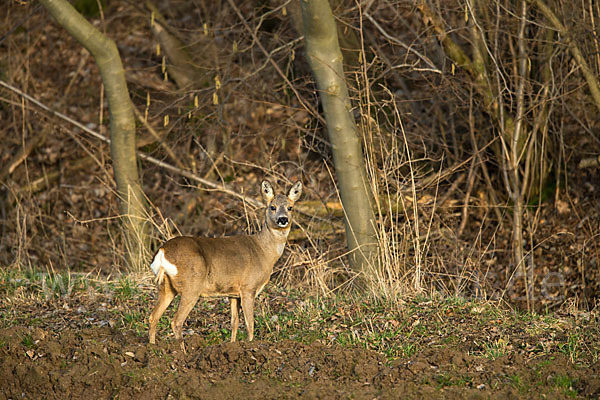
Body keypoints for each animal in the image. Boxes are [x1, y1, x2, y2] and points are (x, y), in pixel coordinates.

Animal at [148, 179, 302, 350]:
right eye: (272, 207)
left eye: (290, 207)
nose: (283, 219)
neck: (264, 251)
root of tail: (163, 252)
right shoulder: (248, 287)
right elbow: (250, 324)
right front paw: (251, 346)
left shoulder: (233, 293)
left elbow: (234, 322)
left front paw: (232, 346)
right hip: (192, 285)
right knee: (176, 321)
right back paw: (183, 353)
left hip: (166, 287)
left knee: (153, 317)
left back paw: (152, 348)